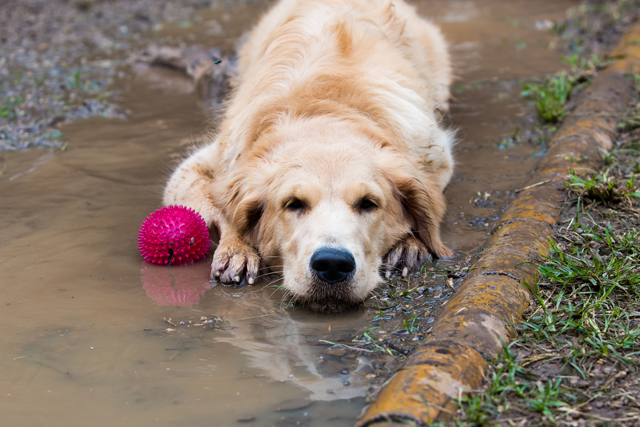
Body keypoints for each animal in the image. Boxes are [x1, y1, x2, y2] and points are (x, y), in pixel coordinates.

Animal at [165, 0, 456, 310]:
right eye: (293, 204)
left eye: (369, 203)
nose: (333, 264)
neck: (326, 112)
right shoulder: (203, 166)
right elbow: (223, 209)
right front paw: (237, 248)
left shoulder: (436, 156)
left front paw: (408, 244)